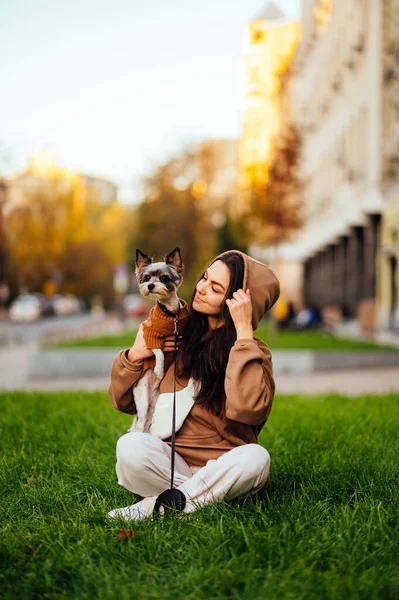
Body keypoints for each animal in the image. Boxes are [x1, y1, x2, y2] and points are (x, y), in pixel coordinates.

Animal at [130, 246, 189, 434]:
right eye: (147, 277)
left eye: (163, 278)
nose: (150, 285)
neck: (171, 314)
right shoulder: (149, 335)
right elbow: (159, 353)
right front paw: (159, 369)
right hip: (141, 401)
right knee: (140, 425)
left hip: (154, 406)